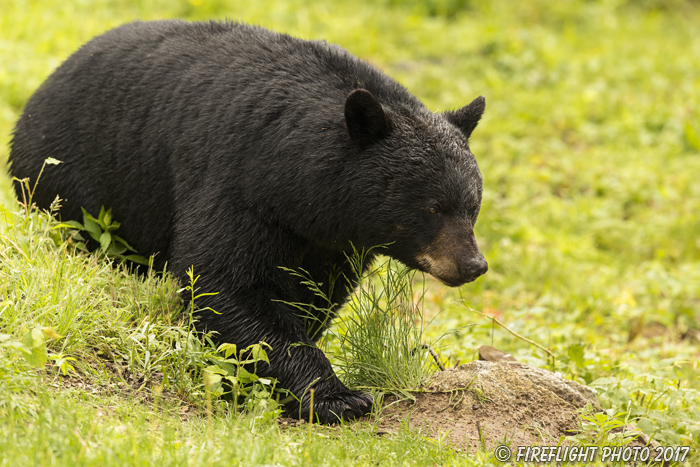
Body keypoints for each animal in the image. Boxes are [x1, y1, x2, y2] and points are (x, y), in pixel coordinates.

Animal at [9, 21, 486, 424]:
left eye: (473, 206)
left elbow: (313, 293)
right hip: (70, 183)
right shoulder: (239, 181)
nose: (472, 265)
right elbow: (225, 281)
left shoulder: (329, 240)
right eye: (433, 207)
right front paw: (338, 397)